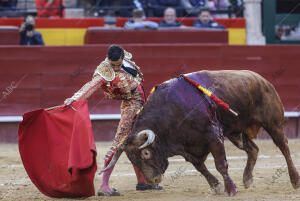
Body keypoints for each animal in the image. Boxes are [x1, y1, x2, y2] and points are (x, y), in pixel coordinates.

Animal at [103, 70, 300, 196]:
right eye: (132, 159)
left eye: (146, 153)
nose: (153, 181)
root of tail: (263, 80)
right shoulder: (187, 148)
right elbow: (200, 167)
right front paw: (216, 186)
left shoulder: (213, 136)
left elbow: (221, 164)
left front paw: (230, 190)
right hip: (236, 132)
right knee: (253, 149)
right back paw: (247, 179)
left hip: (273, 124)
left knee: (284, 148)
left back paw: (295, 180)